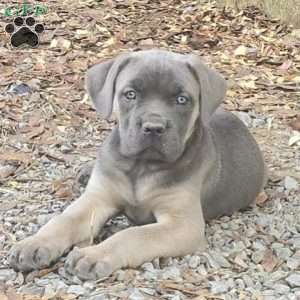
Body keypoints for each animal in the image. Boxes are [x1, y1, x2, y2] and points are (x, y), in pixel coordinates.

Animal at [8, 49, 266, 282]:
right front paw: (34, 243)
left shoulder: (183, 224)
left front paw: (94, 255)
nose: (153, 127)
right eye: (130, 94)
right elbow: (64, 220)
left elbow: (134, 235)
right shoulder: (97, 198)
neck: (141, 166)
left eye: (182, 99)